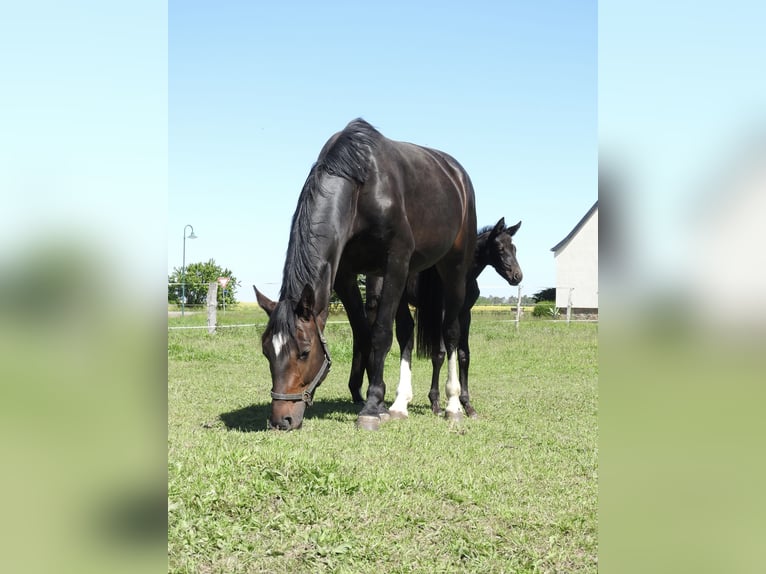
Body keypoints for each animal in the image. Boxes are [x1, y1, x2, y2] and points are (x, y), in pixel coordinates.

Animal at [255, 119, 477, 430]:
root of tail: (457, 174)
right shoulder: (346, 275)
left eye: (305, 351)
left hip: (453, 268)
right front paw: (380, 403)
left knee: (452, 332)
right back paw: (400, 403)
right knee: (407, 332)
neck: (360, 189)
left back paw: (454, 405)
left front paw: (371, 408)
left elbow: (381, 334)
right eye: (267, 351)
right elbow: (364, 334)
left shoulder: (396, 262)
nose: (281, 420)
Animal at [350, 218, 522, 419]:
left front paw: (468, 406)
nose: (517, 276)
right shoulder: (441, 313)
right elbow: (439, 354)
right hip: (380, 304)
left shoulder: (465, 314)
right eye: (500, 248)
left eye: (514, 248)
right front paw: (436, 403)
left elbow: (464, 355)